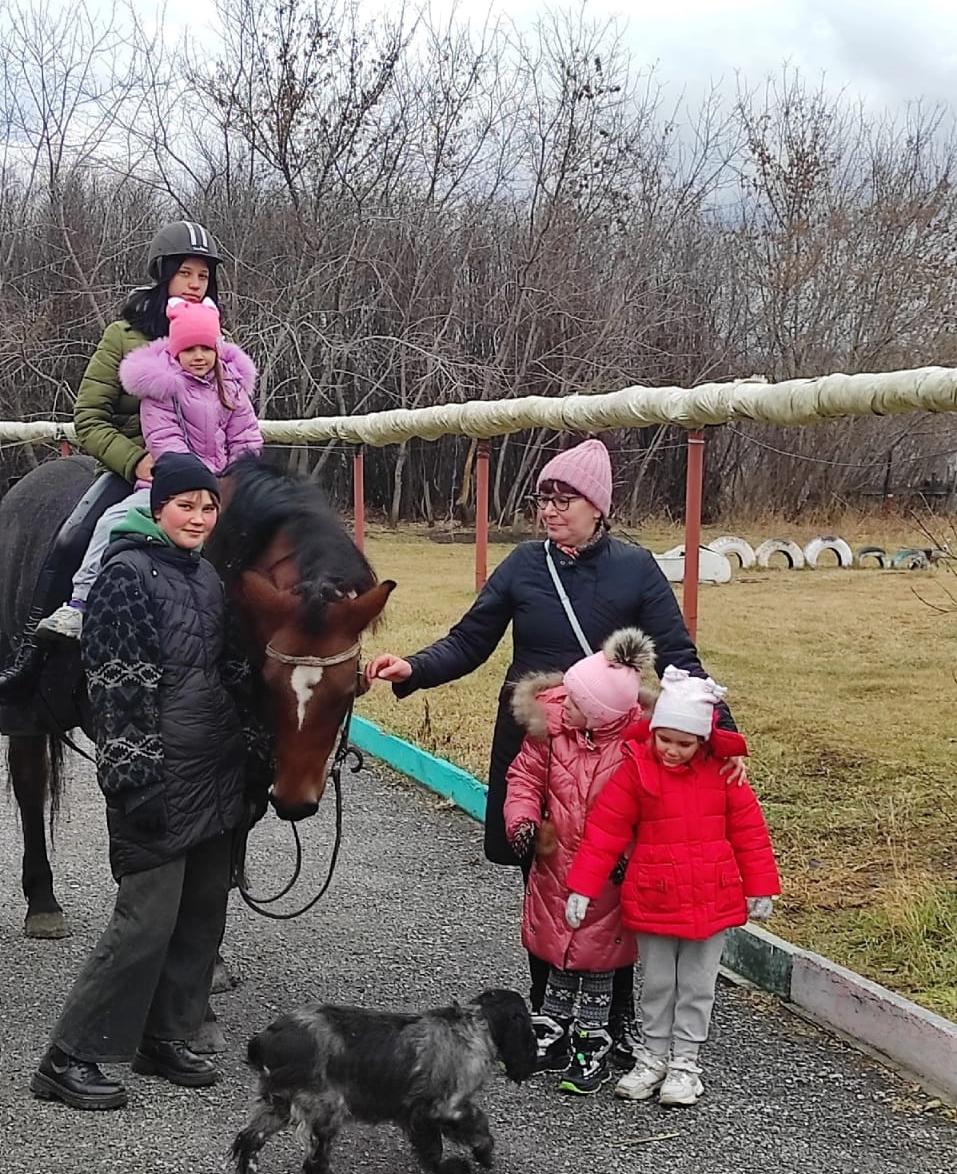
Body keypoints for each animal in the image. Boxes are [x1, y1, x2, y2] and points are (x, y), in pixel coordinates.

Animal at [0, 453, 394, 939]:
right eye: (269, 680)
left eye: (348, 690)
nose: (295, 800)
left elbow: (235, 822)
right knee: (29, 780)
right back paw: (42, 902)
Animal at [227, 990, 535, 1174]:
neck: (475, 1025)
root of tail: (264, 1040)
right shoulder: (444, 1108)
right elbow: (476, 1130)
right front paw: (475, 1158)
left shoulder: (419, 1113)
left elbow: (433, 1145)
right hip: (326, 1109)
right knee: (313, 1162)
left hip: (280, 1105)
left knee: (250, 1140)